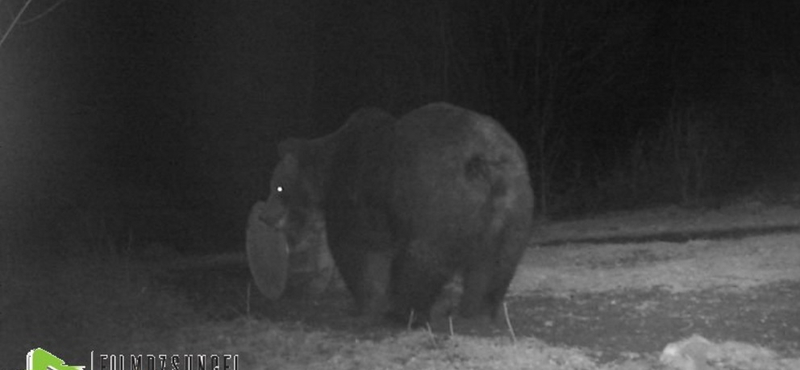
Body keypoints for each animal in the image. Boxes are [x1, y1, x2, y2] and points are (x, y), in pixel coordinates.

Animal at [260, 102, 532, 324]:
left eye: (278, 187)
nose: (265, 217)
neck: (327, 173)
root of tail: (485, 160)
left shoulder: (356, 195)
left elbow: (357, 252)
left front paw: (365, 305)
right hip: (514, 207)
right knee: (495, 263)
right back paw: (476, 311)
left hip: (435, 203)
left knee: (421, 259)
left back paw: (404, 311)